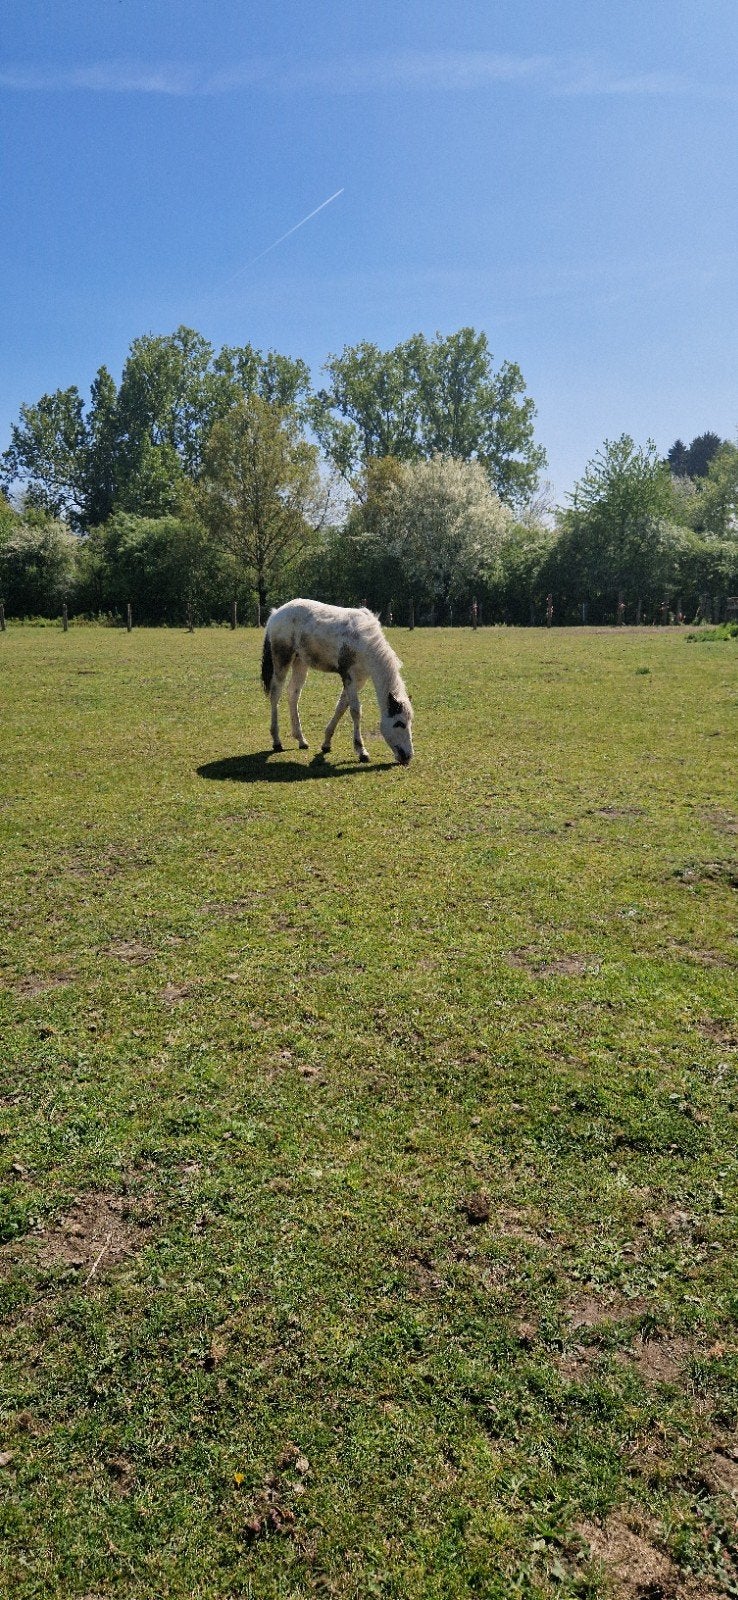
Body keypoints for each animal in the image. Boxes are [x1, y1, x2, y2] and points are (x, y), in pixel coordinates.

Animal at [261, 599, 414, 766]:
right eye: (399, 723)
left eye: (410, 722)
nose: (408, 756)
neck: (363, 641)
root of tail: (276, 613)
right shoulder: (349, 677)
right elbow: (355, 711)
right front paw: (361, 751)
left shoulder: (359, 679)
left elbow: (341, 707)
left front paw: (326, 743)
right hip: (282, 659)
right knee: (275, 694)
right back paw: (277, 741)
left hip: (300, 661)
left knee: (293, 694)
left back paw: (301, 740)